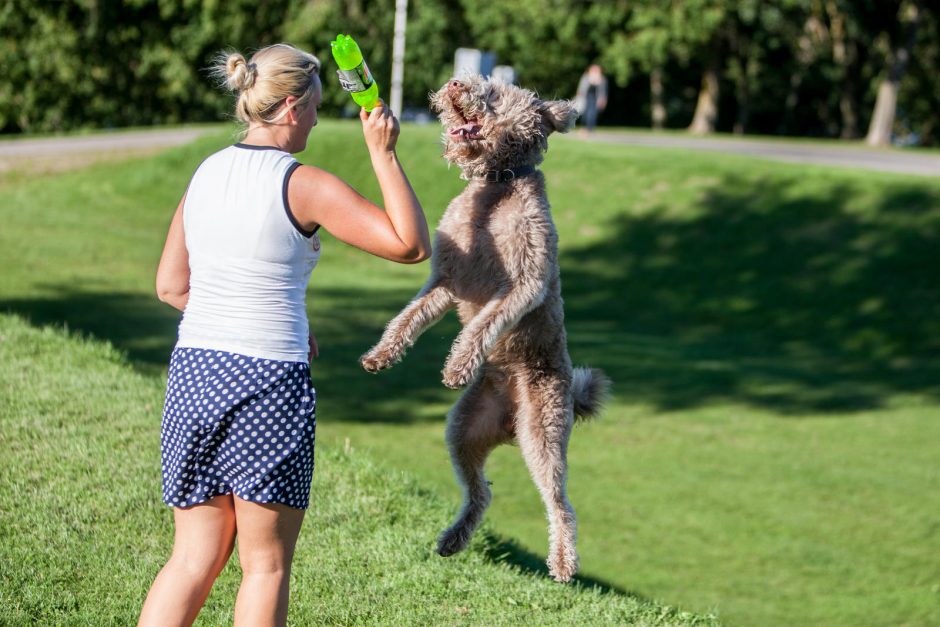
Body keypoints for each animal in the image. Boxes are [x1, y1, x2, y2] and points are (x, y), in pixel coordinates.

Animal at [360, 75, 608, 584]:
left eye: (496, 91)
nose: (458, 82)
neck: (497, 184)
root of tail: (509, 422)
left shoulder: (523, 283)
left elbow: (483, 322)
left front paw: (457, 364)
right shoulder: (444, 280)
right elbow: (409, 316)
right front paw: (381, 353)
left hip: (543, 431)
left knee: (560, 504)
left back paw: (562, 563)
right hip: (463, 429)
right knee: (482, 491)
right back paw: (453, 539)